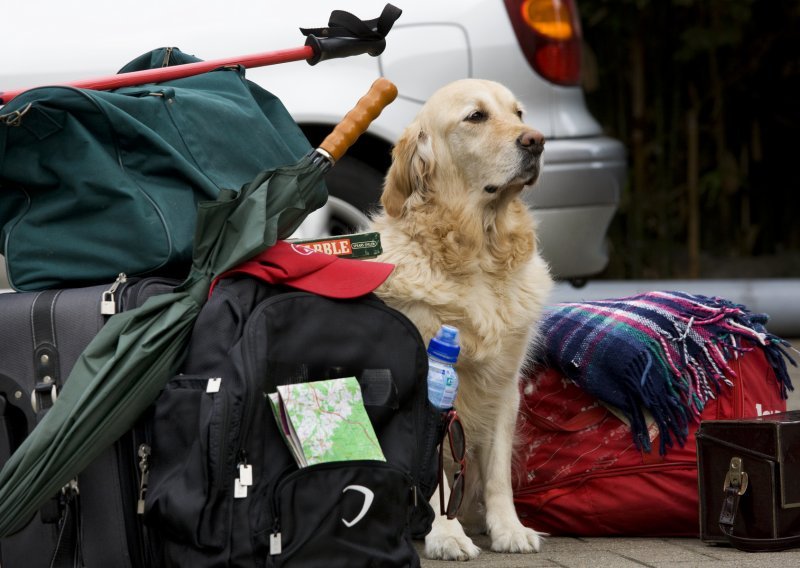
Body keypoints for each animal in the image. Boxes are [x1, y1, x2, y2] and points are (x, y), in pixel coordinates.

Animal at [370, 79, 552, 560]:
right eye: (476, 117)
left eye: (519, 113)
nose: (536, 141)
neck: (480, 254)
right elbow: (433, 472)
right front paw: (446, 534)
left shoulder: (503, 385)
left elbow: (498, 474)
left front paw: (509, 529)